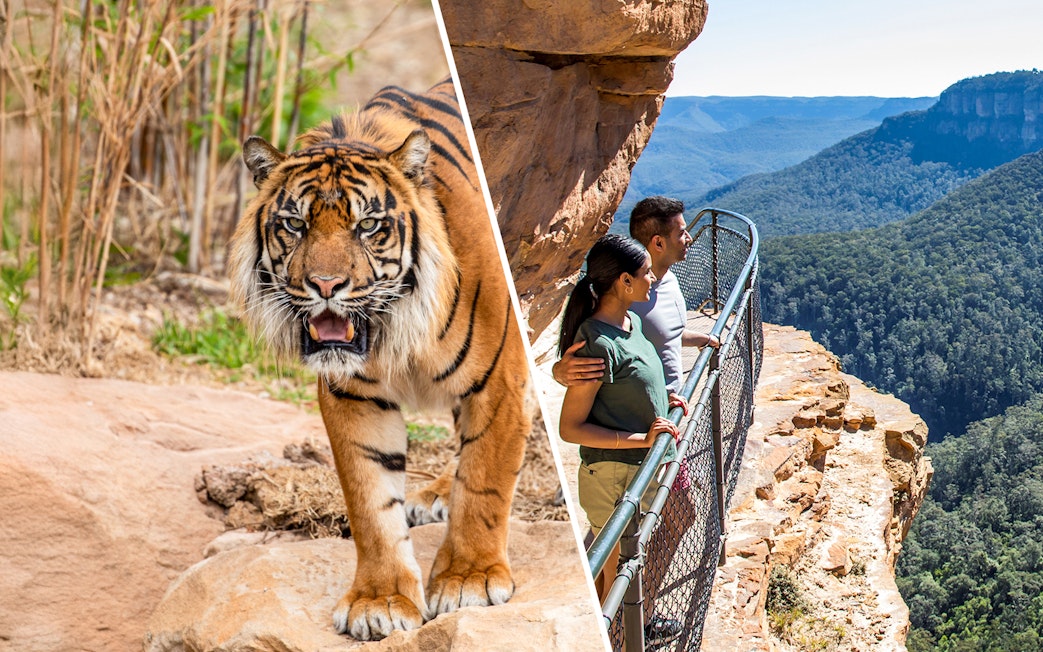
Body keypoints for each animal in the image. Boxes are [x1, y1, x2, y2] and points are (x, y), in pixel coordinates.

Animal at [228, 78, 532, 640]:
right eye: (293, 224)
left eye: (368, 225)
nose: (325, 285)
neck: (393, 332)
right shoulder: (353, 396)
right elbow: (371, 502)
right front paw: (382, 601)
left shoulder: (499, 382)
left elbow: (485, 479)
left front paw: (469, 580)